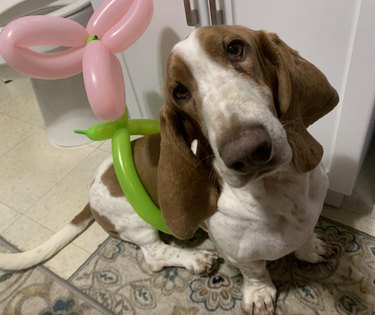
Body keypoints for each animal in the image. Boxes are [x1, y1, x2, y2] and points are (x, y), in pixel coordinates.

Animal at [0, 25, 340, 314]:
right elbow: (254, 270)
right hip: (134, 221)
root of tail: (95, 182)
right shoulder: (241, 254)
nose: (247, 152)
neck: (277, 189)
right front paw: (260, 295)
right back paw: (197, 258)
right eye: (179, 92)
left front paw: (311, 248)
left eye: (234, 48)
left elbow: (304, 237)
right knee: (154, 255)